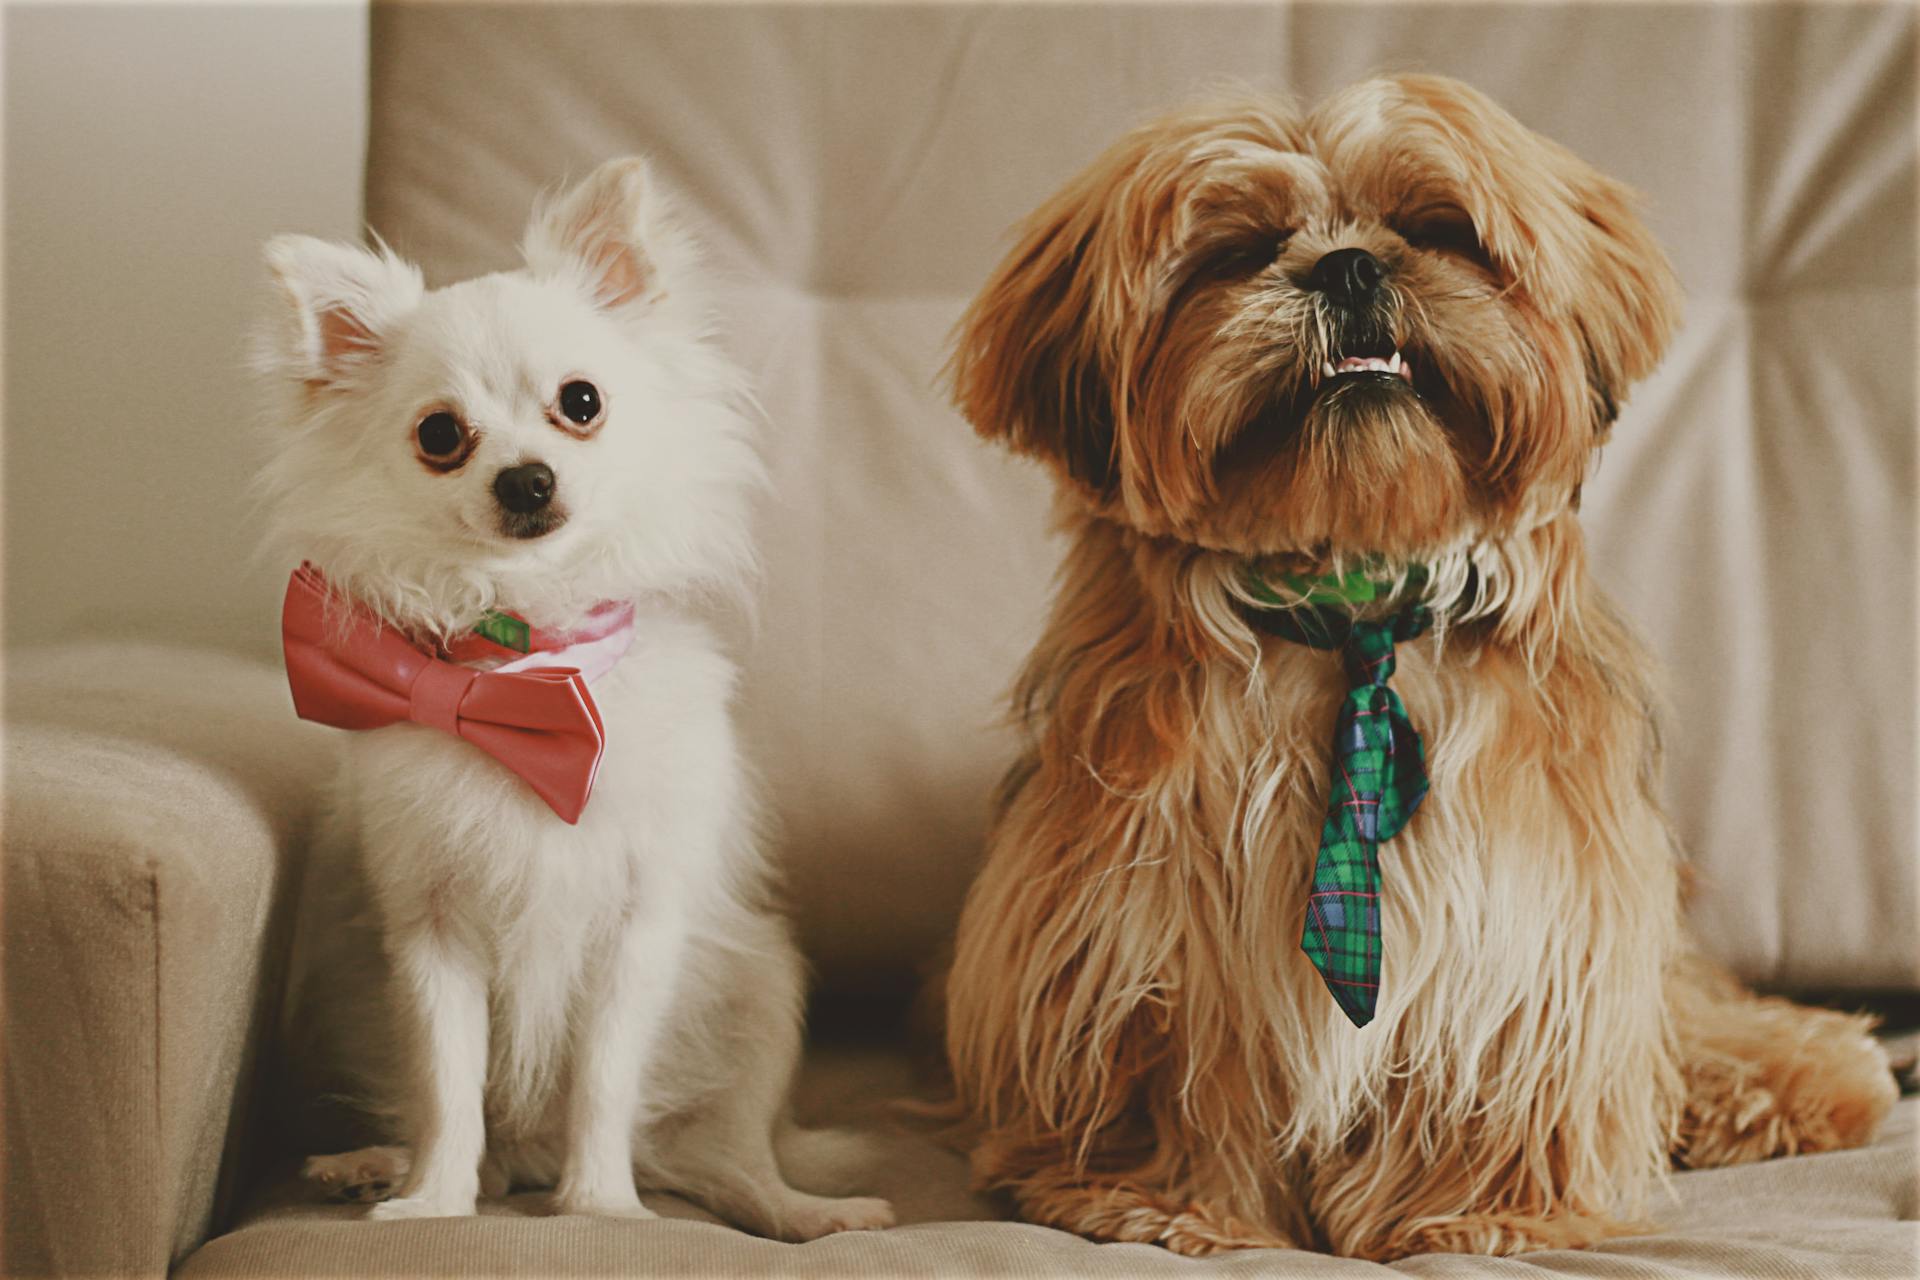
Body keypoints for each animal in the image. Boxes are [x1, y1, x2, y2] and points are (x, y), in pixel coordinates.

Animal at [255, 152, 898, 1243]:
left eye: (582, 401)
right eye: (440, 434)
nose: (525, 478)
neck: (526, 672)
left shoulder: (635, 931)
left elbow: (603, 1079)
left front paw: (601, 1206)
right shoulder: (431, 935)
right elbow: (448, 1082)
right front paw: (433, 1200)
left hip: (764, 989)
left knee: (730, 1161)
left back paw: (811, 1214)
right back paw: (380, 1165)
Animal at [936, 77, 1896, 1258]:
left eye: (1436, 228)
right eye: (1236, 250)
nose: (1349, 265)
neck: (1354, 601)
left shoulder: (1532, 911)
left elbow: (1493, 1059)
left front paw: (1472, 1209)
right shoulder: (1143, 911)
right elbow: (1185, 1068)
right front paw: (1170, 1203)